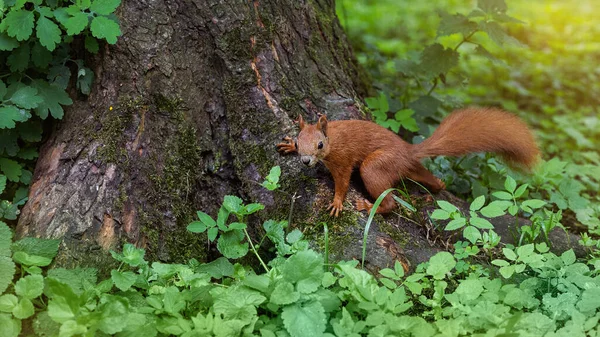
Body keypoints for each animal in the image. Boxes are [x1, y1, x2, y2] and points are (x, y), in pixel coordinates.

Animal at [276, 108, 540, 218]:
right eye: (299, 142)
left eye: (320, 145)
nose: (306, 161)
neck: (333, 138)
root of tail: (408, 151)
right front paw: (288, 145)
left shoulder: (342, 160)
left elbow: (342, 182)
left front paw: (337, 203)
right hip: (410, 167)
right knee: (425, 175)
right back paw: (439, 185)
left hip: (375, 166)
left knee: (391, 201)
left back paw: (371, 207)